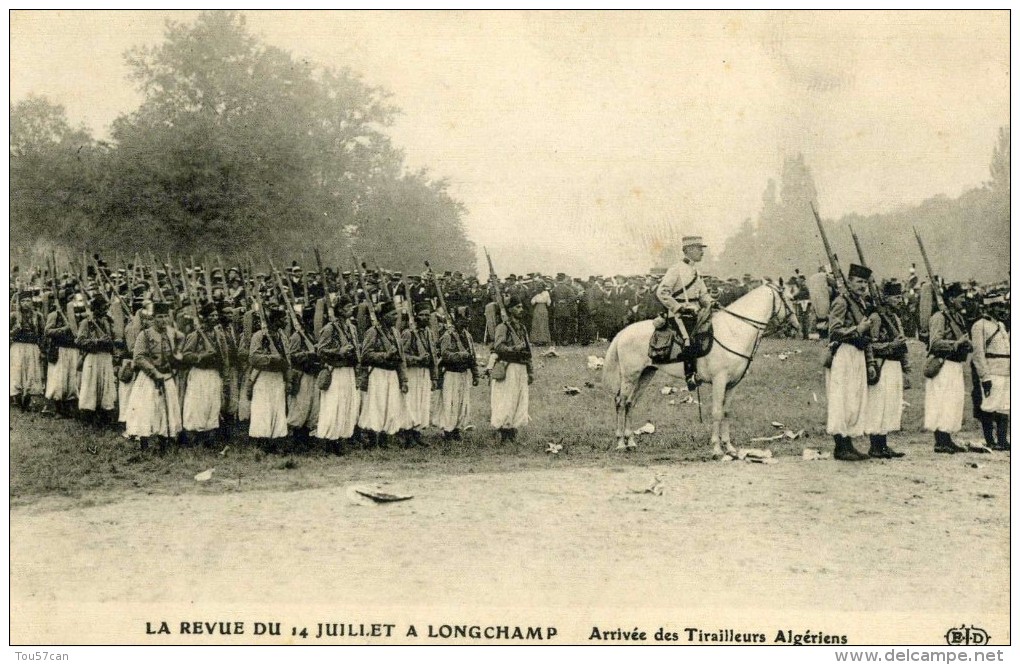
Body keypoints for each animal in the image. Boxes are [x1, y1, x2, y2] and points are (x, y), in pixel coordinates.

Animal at [599, 283, 799, 458]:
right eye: (790, 298)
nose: (796, 326)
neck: (734, 331)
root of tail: (623, 333)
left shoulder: (733, 384)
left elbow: (726, 412)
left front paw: (729, 448)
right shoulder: (719, 380)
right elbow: (717, 412)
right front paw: (717, 449)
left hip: (646, 374)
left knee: (630, 403)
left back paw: (631, 442)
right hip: (630, 376)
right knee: (620, 402)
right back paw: (620, 443)